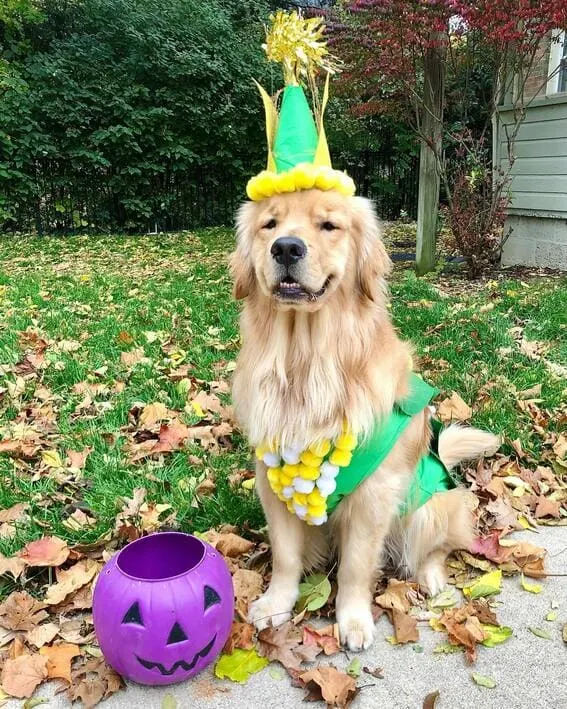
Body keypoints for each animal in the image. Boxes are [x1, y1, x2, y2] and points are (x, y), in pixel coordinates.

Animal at [229, 189, 500, 652]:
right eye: (270, 224)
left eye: (328, 225)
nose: (286, 248)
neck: (306, 364)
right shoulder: (271, 481)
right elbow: (285, 555)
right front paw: (276, 603)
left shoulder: (375, 495)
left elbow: (356, 566)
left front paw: (353, 620)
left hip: (430, 507)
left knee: (436, 548)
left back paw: (431, 577)